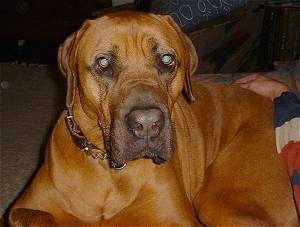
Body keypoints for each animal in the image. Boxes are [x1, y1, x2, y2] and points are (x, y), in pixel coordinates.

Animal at [8, 12, 298, 225]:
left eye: (167, 59)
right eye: (104, 63)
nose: (147, 123)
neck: (107, 168)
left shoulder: (177, 220)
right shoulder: (21, 209)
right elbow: (41, 219)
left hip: (222, 199)